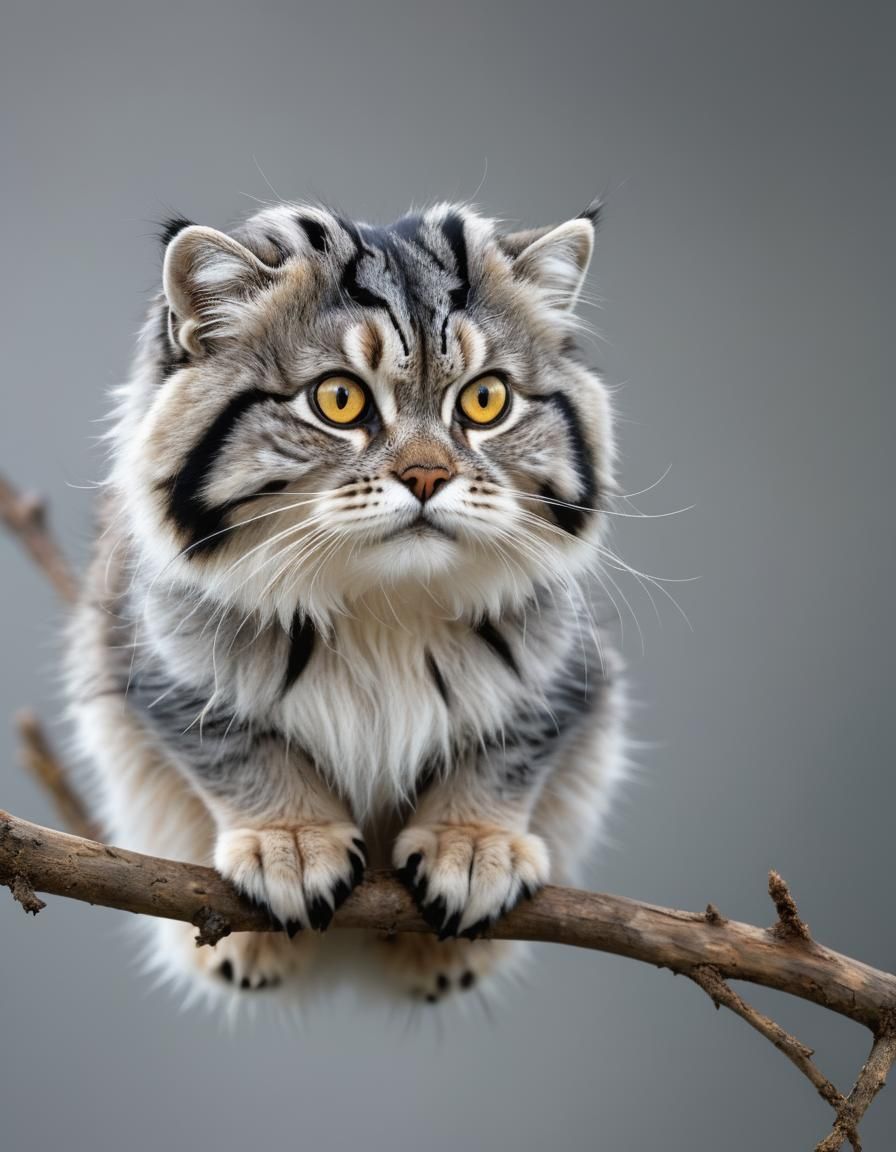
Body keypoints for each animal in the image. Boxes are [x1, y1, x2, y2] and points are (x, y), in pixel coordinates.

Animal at [67, 202, 621, 1004]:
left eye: (486, 401)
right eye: (339, 399)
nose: (427, 477)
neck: (383, 606)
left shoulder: (565, 678)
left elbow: (503, 752)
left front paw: (471, 845)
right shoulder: (152, 666)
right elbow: (243, 751)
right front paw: (293, 843)